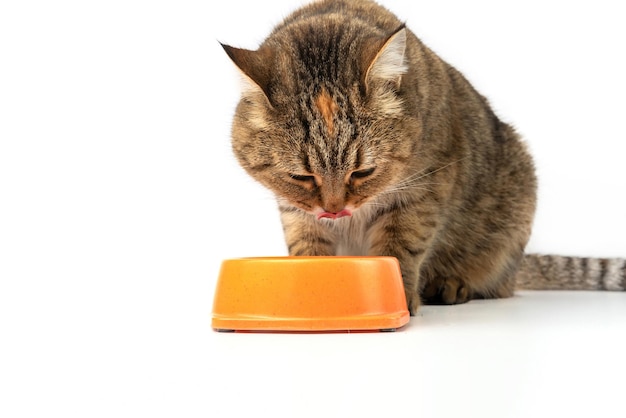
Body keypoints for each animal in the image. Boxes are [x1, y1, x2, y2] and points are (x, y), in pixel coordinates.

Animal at [218, 0, 620, 314]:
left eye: (363, 172)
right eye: (301, 177)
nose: (335, 210)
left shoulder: (424, 191)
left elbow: (401, 246)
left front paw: (399, 293)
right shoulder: (296, 210)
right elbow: (306, 241)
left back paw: (451, 283)